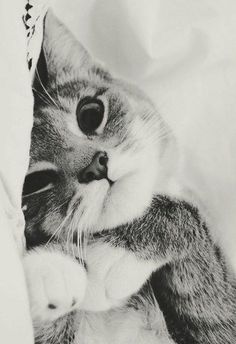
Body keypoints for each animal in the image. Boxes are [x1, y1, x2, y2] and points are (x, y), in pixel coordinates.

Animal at [21, 9, 234, 342]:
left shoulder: (222, 321)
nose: (96, 166)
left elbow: (190, 218)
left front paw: (111, 254)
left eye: (90, 113)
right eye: (34, 183)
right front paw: (50, 270)